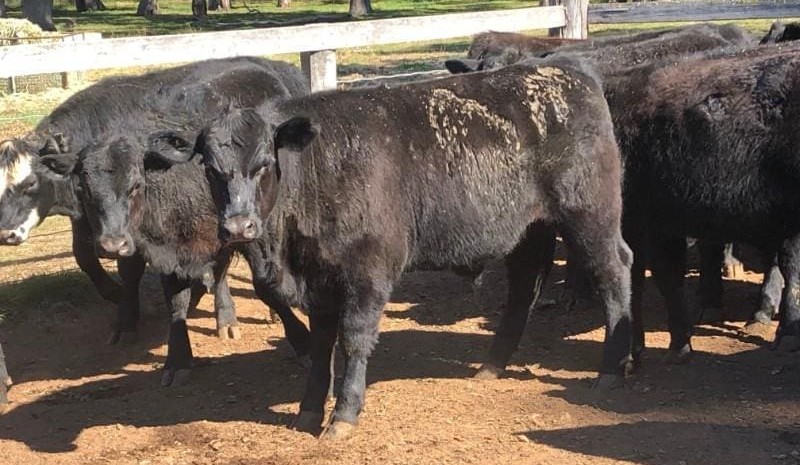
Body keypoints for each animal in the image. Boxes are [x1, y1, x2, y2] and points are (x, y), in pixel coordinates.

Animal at [122, 56, 632, 439]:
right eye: (210, 166)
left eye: (265, 162)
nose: (238, 225)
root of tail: (569, 73)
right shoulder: (319, 279)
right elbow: (322, 342)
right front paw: (309, 410)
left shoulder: (368, 270)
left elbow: (354, 338)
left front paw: (343, 415)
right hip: (529, 229)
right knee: (525, 285)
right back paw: (492, 365)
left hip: (591, 214)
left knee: (614, 272)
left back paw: (612, 368)